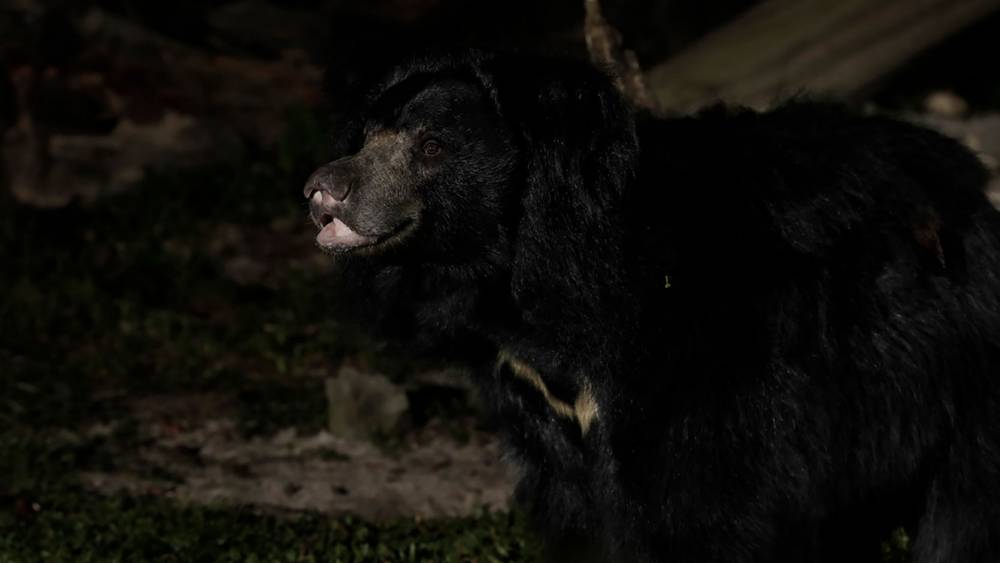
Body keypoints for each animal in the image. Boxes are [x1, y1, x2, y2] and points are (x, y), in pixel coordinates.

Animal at [303, 50, 1000, 562]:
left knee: (965, 509)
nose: (320, 191)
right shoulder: (537, 396)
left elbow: (704, 509)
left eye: (430, 147)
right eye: (366, 137)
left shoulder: (707, 363)